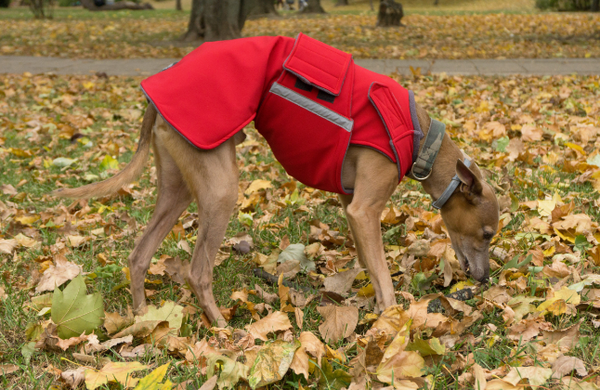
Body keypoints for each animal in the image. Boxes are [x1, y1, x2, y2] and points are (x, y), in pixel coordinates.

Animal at [54, 34, 500, 326]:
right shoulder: (364, 207)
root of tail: (154, 98)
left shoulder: (352, 206)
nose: (483, 279)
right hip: (221, 190)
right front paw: (392, 321)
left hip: (177, 189)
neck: (422, 136)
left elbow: (368, 262)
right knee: (198, 272)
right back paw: (224, 330)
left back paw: (145, 318)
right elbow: (383, 274)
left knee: (138, 255)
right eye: (488, 234)